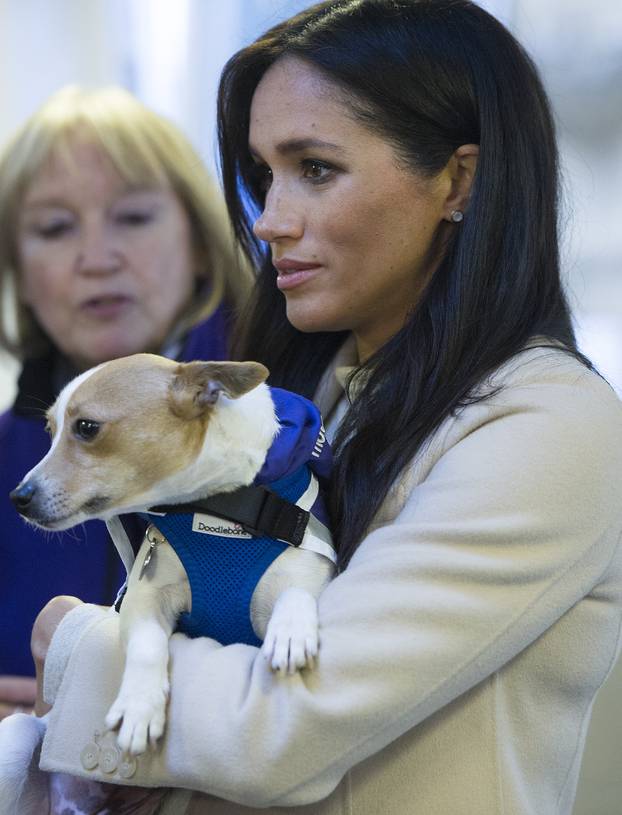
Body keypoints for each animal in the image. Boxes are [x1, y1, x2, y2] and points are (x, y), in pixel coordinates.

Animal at [8, 356, 336, 760]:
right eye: (49, 430)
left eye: (86, 428)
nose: (18, 497)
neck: (218, 509)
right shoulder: (144, 599)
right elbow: (148, 644)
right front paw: (139, 705)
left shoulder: (308, 571)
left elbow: (296, 592)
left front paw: (290, 631)